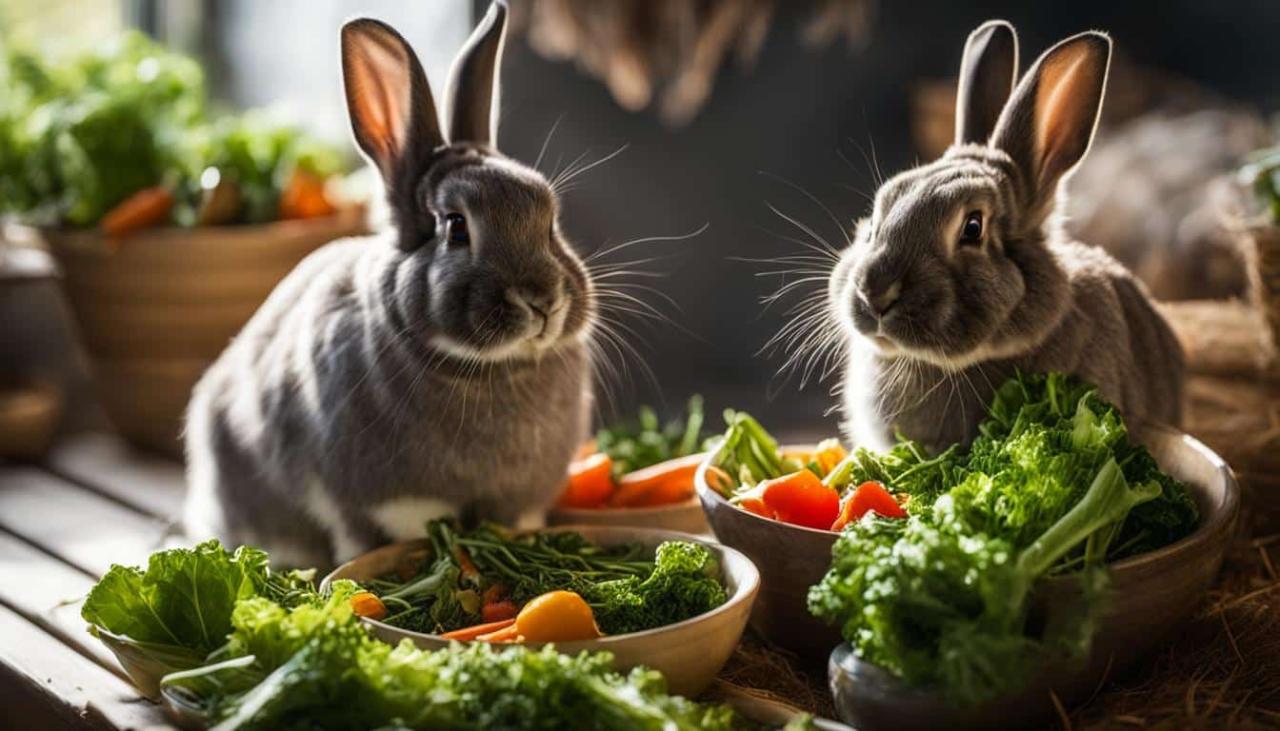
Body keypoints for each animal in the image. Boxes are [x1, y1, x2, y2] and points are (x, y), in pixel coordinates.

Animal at [183, 2, 595, 568]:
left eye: (550, 220)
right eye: (456, 226)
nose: (543, 302)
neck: (488, 366)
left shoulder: (521, 505)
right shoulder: (391, 507)